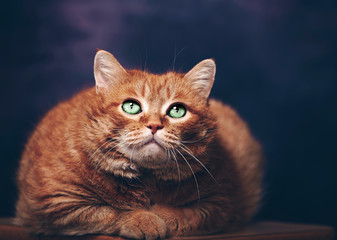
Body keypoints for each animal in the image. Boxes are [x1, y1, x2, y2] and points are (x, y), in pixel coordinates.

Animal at [15, 49, 262, 240]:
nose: (154, 125)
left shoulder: (221, 203)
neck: (147, 179)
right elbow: (107, 212)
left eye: (177, 110)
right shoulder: (54, 204)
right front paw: (144, 219)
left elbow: (187, 214)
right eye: (131, 106)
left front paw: (160, 214)